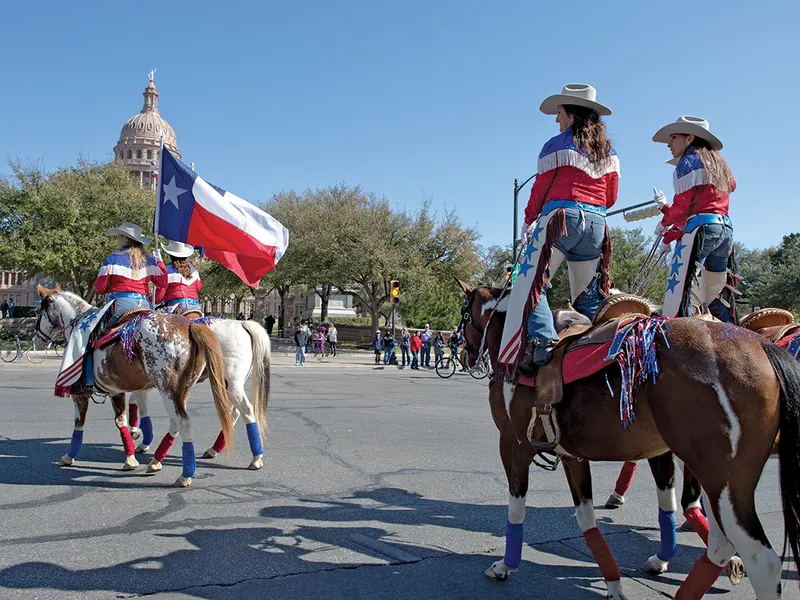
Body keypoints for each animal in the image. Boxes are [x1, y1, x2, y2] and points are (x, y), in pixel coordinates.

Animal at [35, 286, 234, 488]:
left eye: (39, 311)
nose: (37, 340)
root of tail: (190, 325)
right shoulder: (117, 389)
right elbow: (122, 419)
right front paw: (131, 455)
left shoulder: (80, 392)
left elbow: (79, 424)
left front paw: (69, 456)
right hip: (182, 390)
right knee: (180, 421)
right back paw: (157, 461)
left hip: (171, 390)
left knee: (187, 422)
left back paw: (186, 474)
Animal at [456, 282, 800, 600]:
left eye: (463, 313)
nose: (462, 353)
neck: (515, 351)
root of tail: (761, 346)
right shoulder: (573, 456)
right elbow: (587, 519)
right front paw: (613, 582)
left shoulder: (513, 446)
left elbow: (516, 510)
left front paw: (505, 565)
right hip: (716, 482)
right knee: (720, 544)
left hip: (724, 483)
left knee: (760, 560)